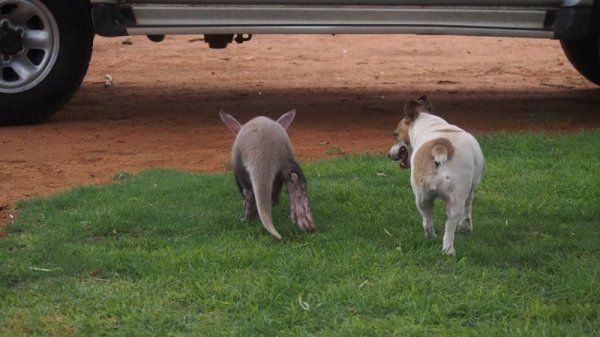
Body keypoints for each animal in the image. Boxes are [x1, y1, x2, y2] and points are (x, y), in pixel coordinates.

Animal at [390, 95, 482, 255]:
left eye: (395, 135)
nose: (389, 154)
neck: (430, 124)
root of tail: (440, 146)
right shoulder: (471, 190)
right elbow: (468, 208)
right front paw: (466, 227)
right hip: (456, 198)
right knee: (450, 225)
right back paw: (449, 249)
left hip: (421, 198)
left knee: (427, 221)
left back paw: (433, 238)